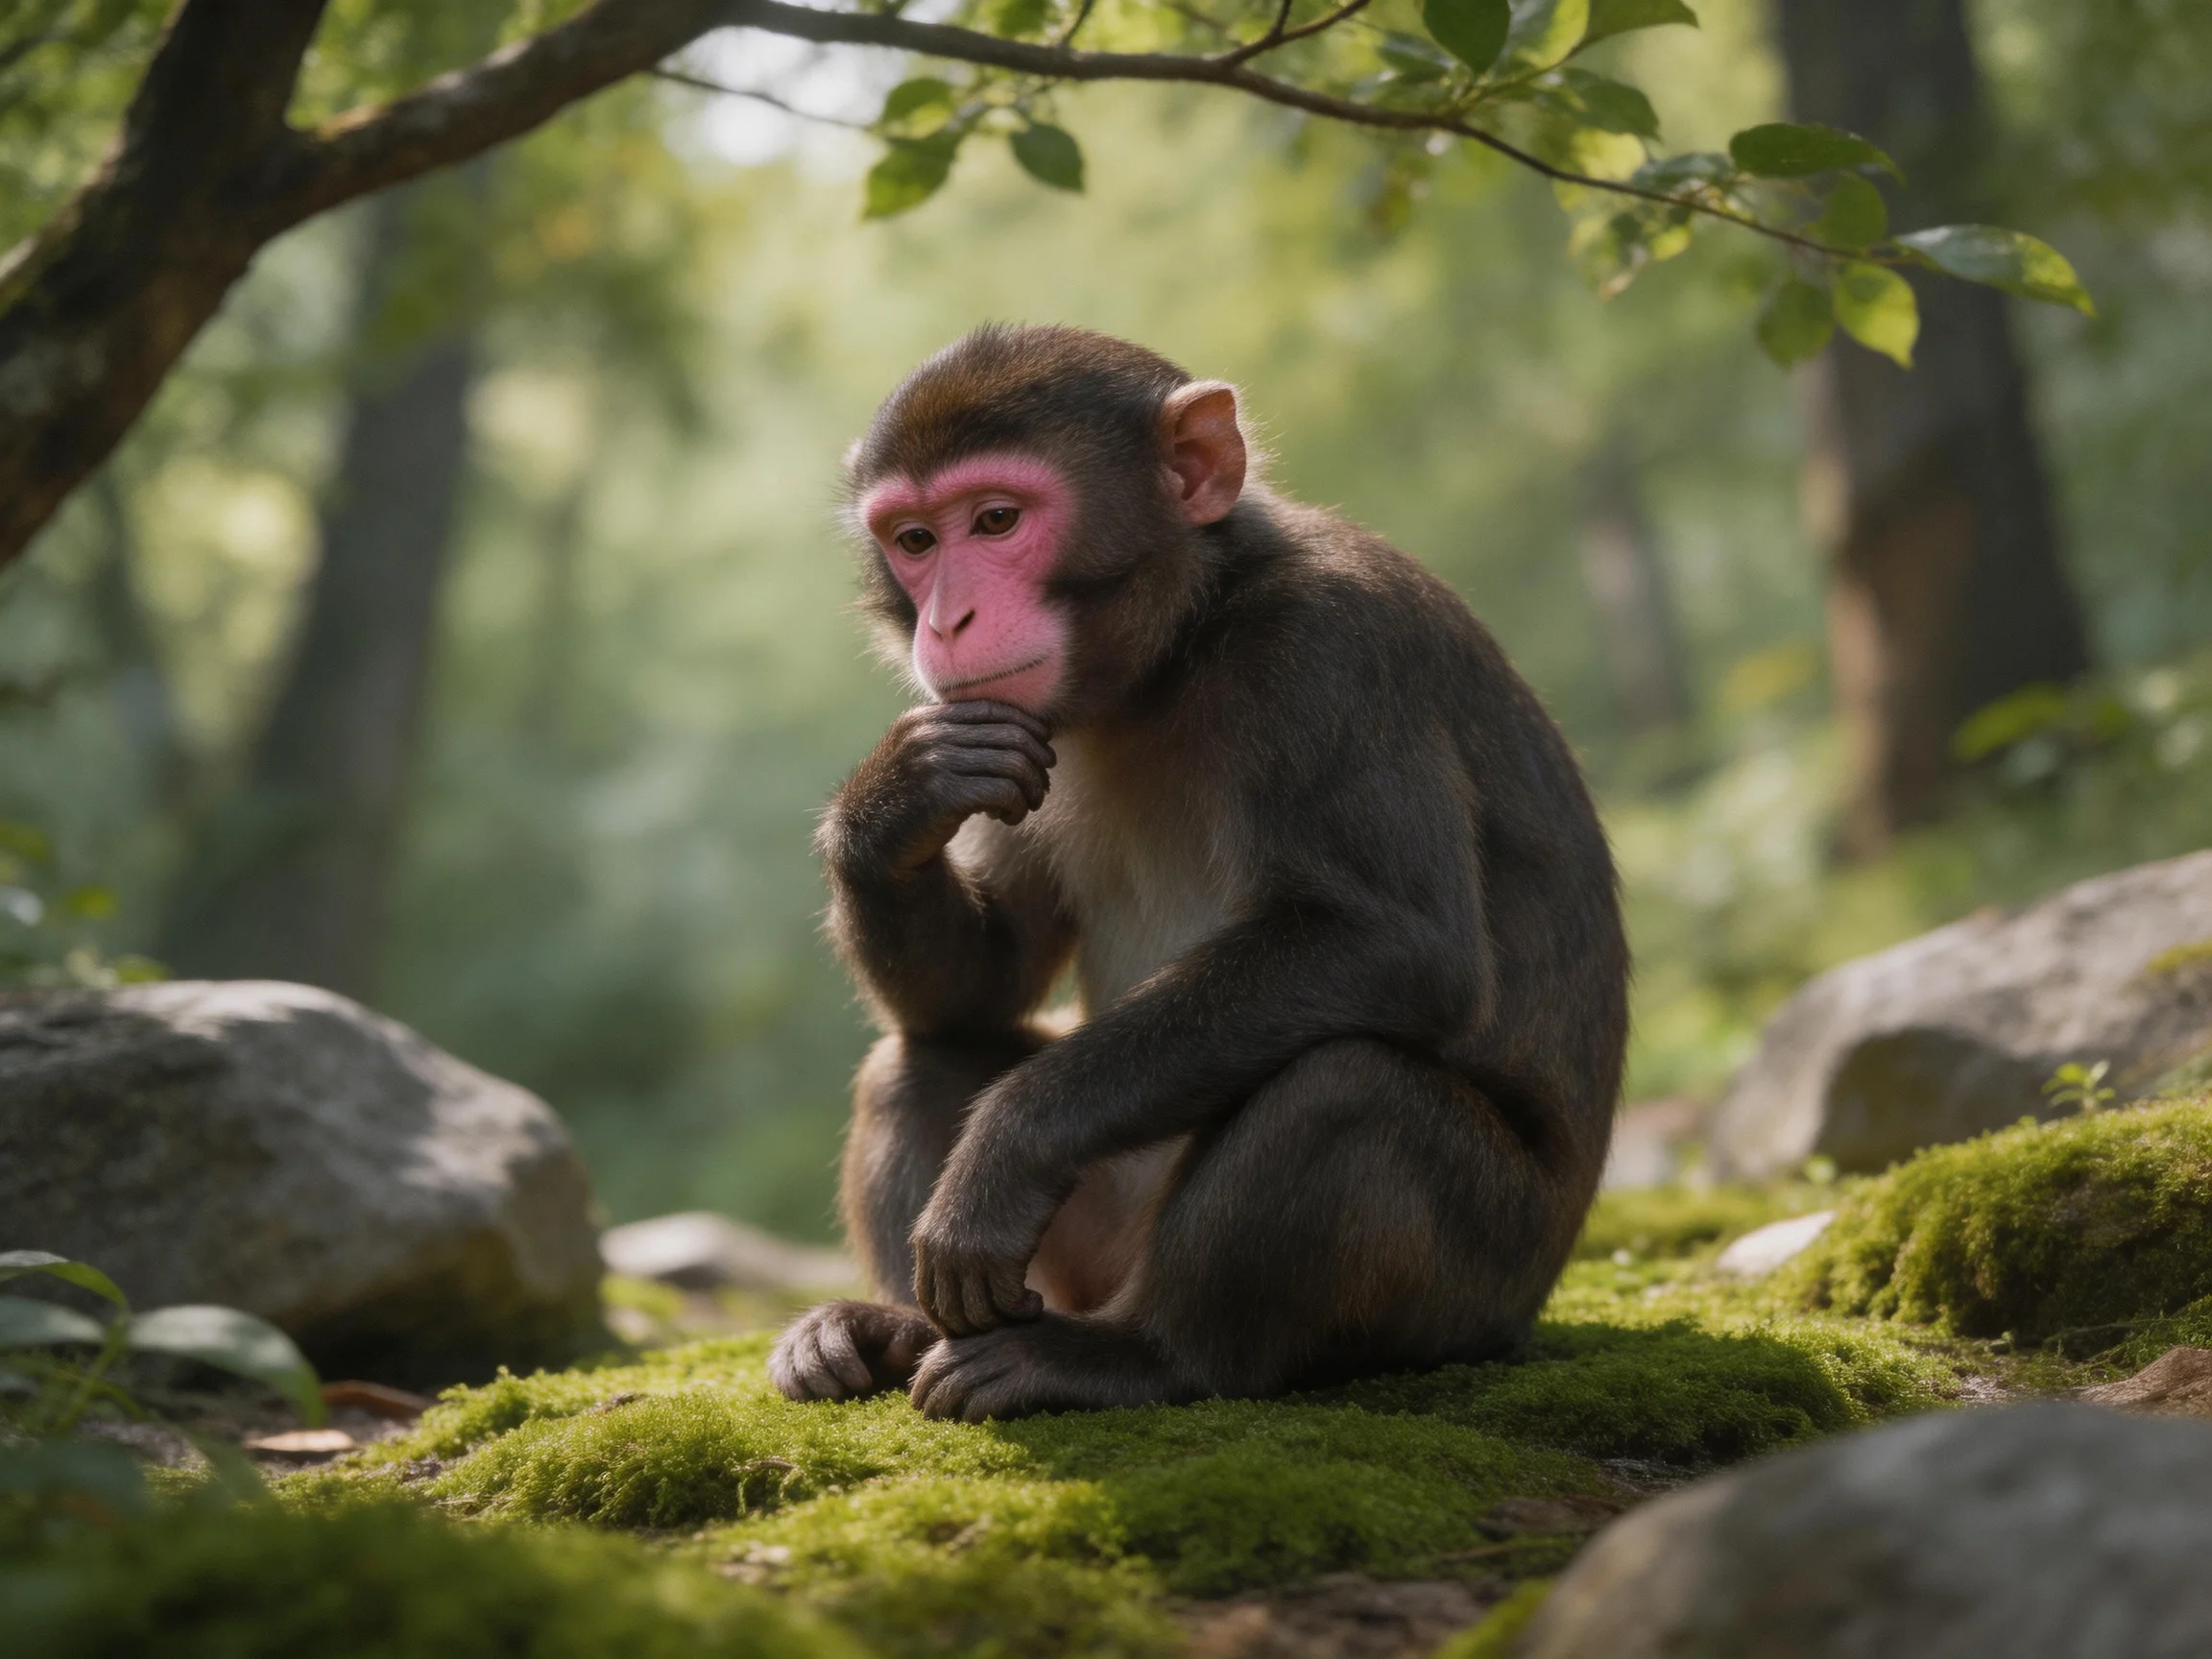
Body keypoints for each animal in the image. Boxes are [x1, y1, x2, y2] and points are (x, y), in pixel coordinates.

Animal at [769, 324, 1629, 1422]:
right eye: (915, 540)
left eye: (997, 520)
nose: (948, 620)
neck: (1182, 644)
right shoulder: (1024, 729)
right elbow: (984, 982)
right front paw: (893, 803)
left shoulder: (1326, 652)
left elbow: (1396, 944)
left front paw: (1004, 1148)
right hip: (1078, 1253)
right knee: (918, 1054)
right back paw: (894, 1332)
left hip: (1475, 1289)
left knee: (1349, 1087)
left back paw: (1141, 1356)